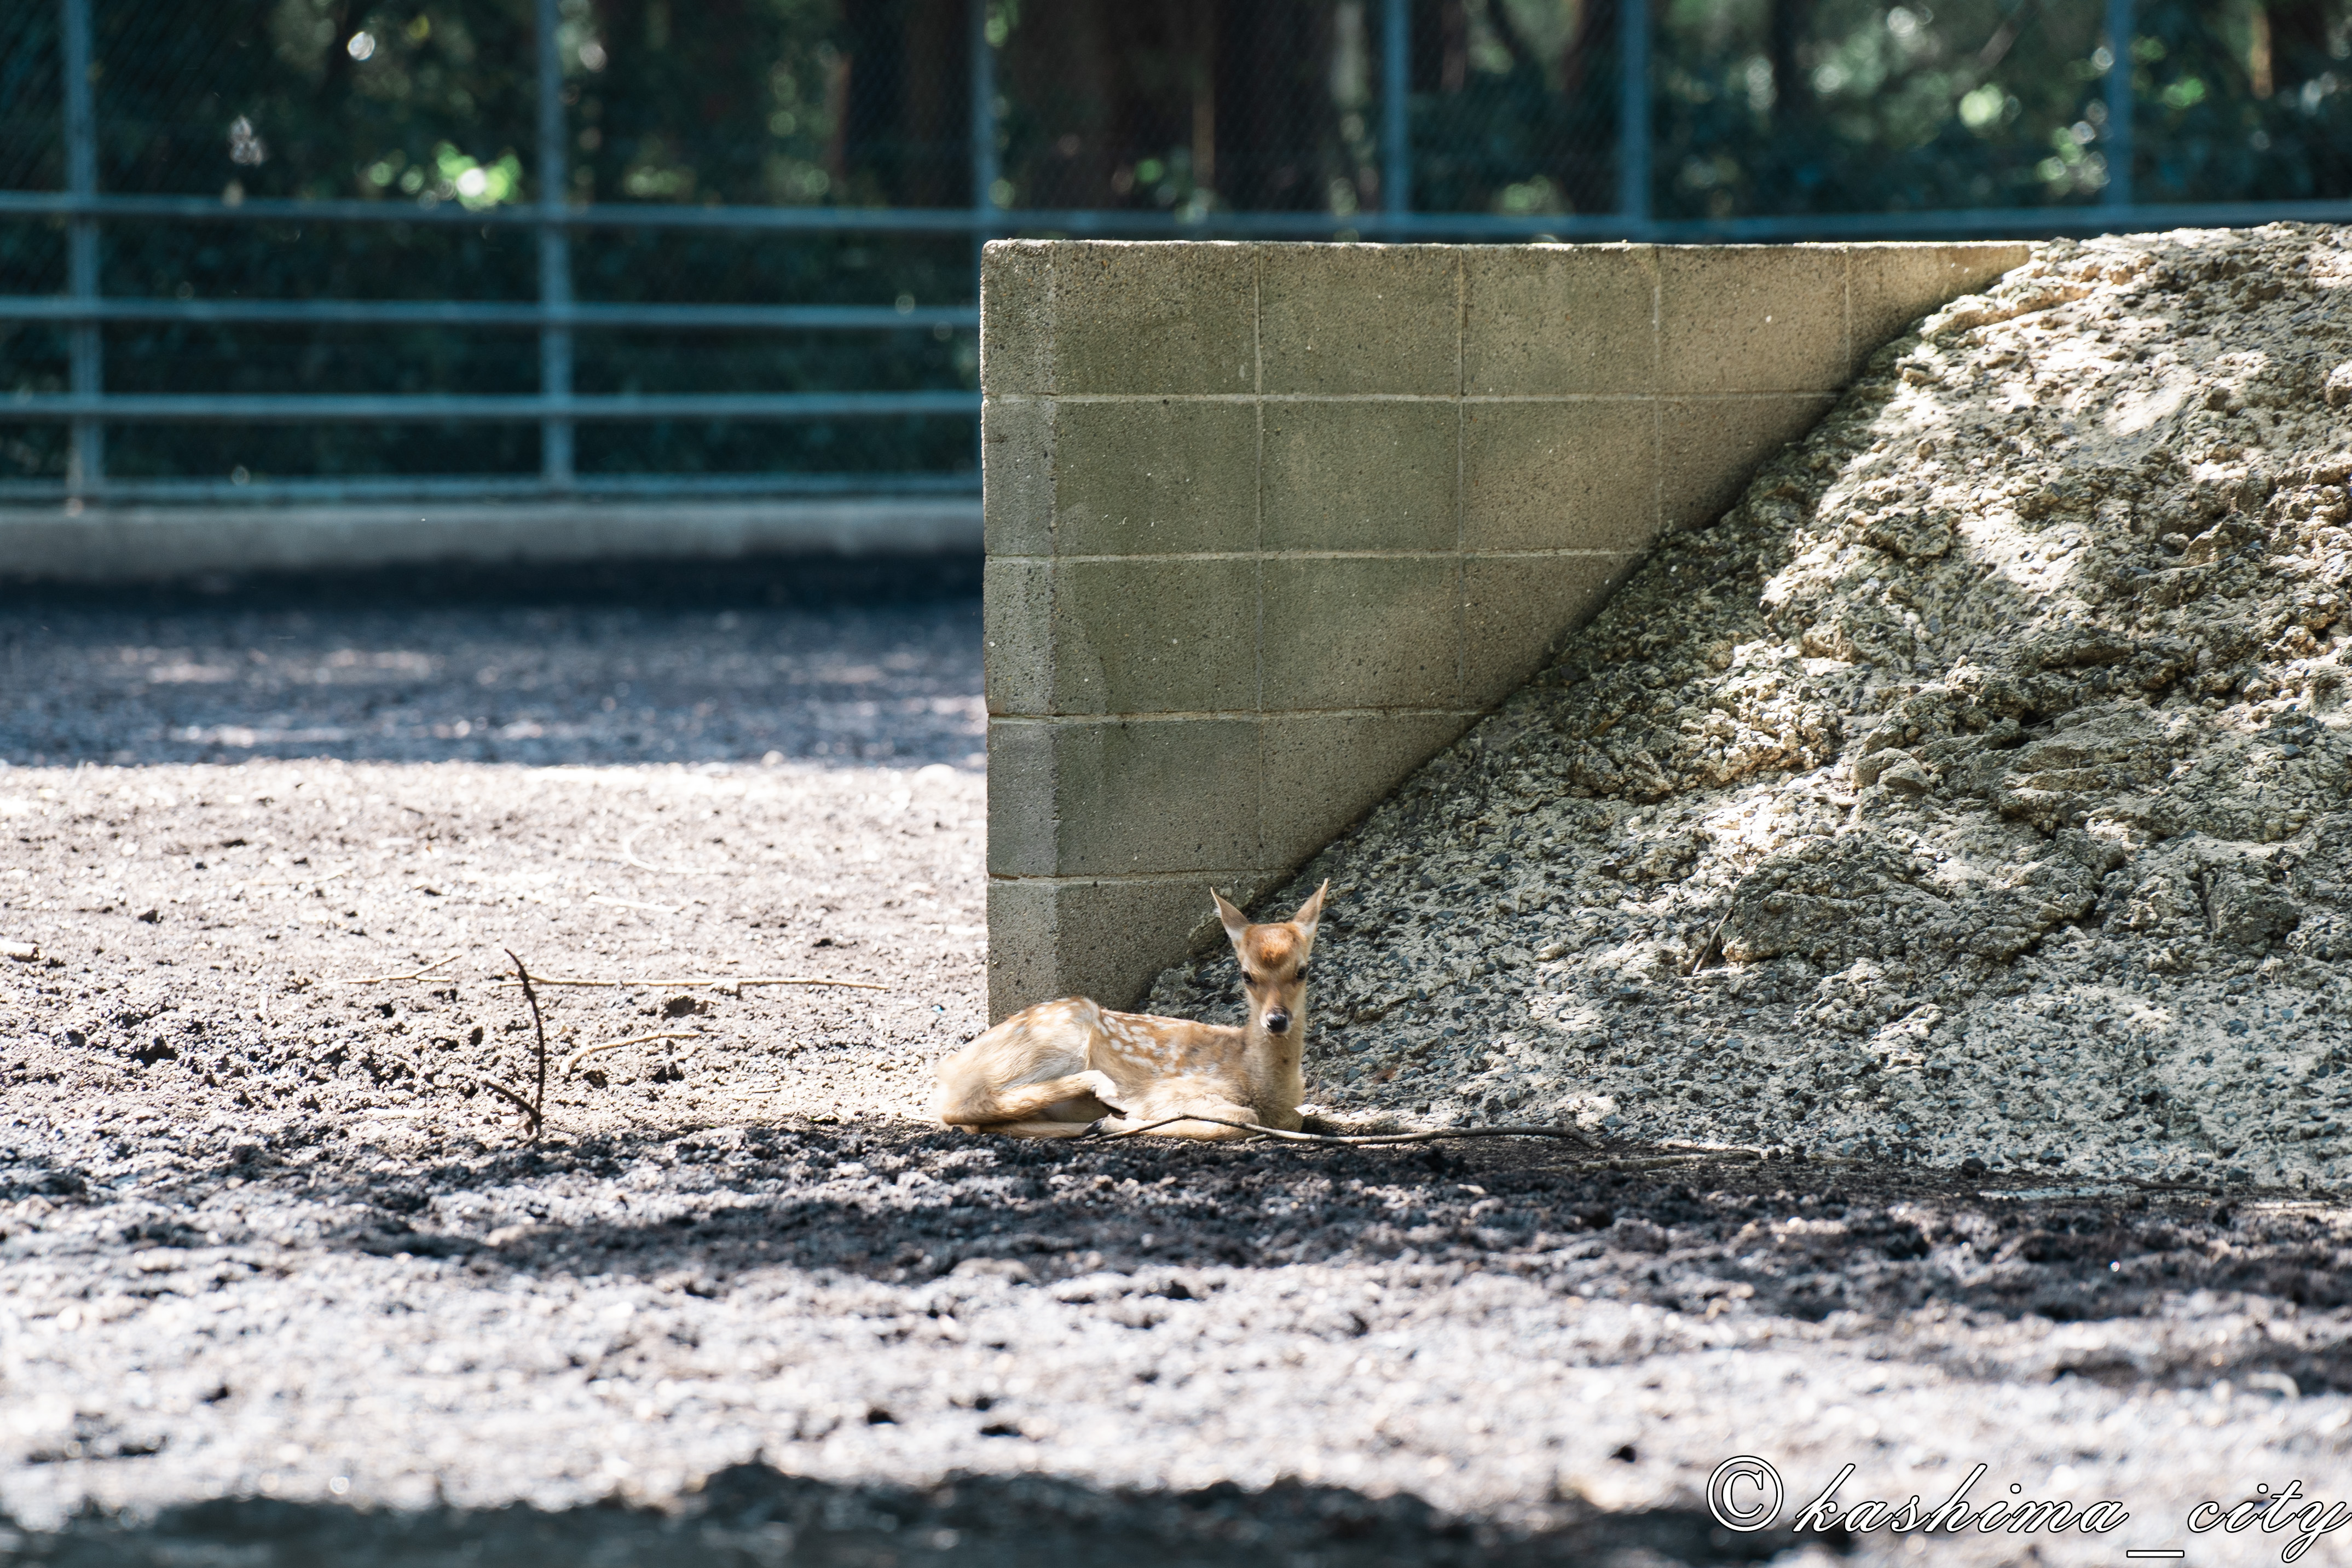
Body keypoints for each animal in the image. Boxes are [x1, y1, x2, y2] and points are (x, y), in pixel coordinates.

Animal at [932, 882, 1328, 1141]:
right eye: (1247, 975)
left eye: (1302, 970)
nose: (1276, 1020)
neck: (1257, 1078)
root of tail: (949, 1067)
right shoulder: (1171, 1091)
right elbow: (1240, 1117)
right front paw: (1121, 1119)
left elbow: (1295, 1119)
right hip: (1054, 1036)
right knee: (959, 1106)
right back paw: (1105, 1099)